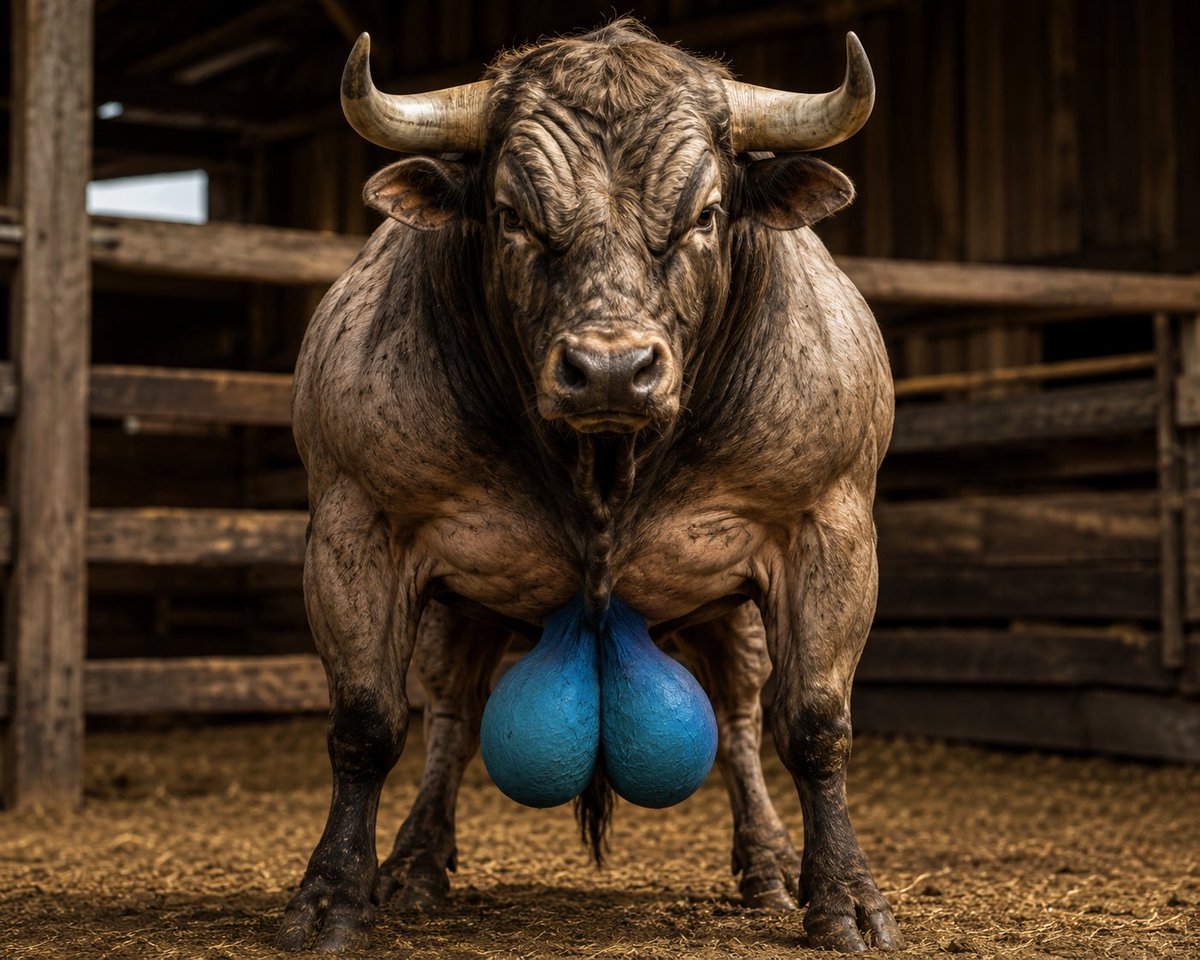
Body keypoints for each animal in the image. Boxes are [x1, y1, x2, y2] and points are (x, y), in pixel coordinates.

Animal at [278, 19, 899, 954]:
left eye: (705, 214)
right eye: (511, 214)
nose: (611, 370)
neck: (605, 466)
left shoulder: (827, 528)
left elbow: (816, 724)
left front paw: (846, 899)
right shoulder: (357, 527)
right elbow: (366, 723)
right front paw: (330, 895)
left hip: (729, 613)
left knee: (740, 722)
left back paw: (766, 866)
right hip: (459, 608)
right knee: (453, 718)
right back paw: (417, 864)